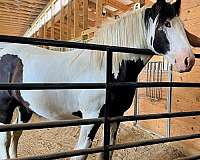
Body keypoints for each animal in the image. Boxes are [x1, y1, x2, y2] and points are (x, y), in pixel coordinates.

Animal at [0, 0, 195, 159]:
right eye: (166, 24)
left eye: (182, 26)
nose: (188, 60)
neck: (108, 68)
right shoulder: (91, 117)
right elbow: (81, 152)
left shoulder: (115, 117)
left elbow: (107, 150)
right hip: (5, 109)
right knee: (5, 140)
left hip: (25, 107)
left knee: (15, 135)